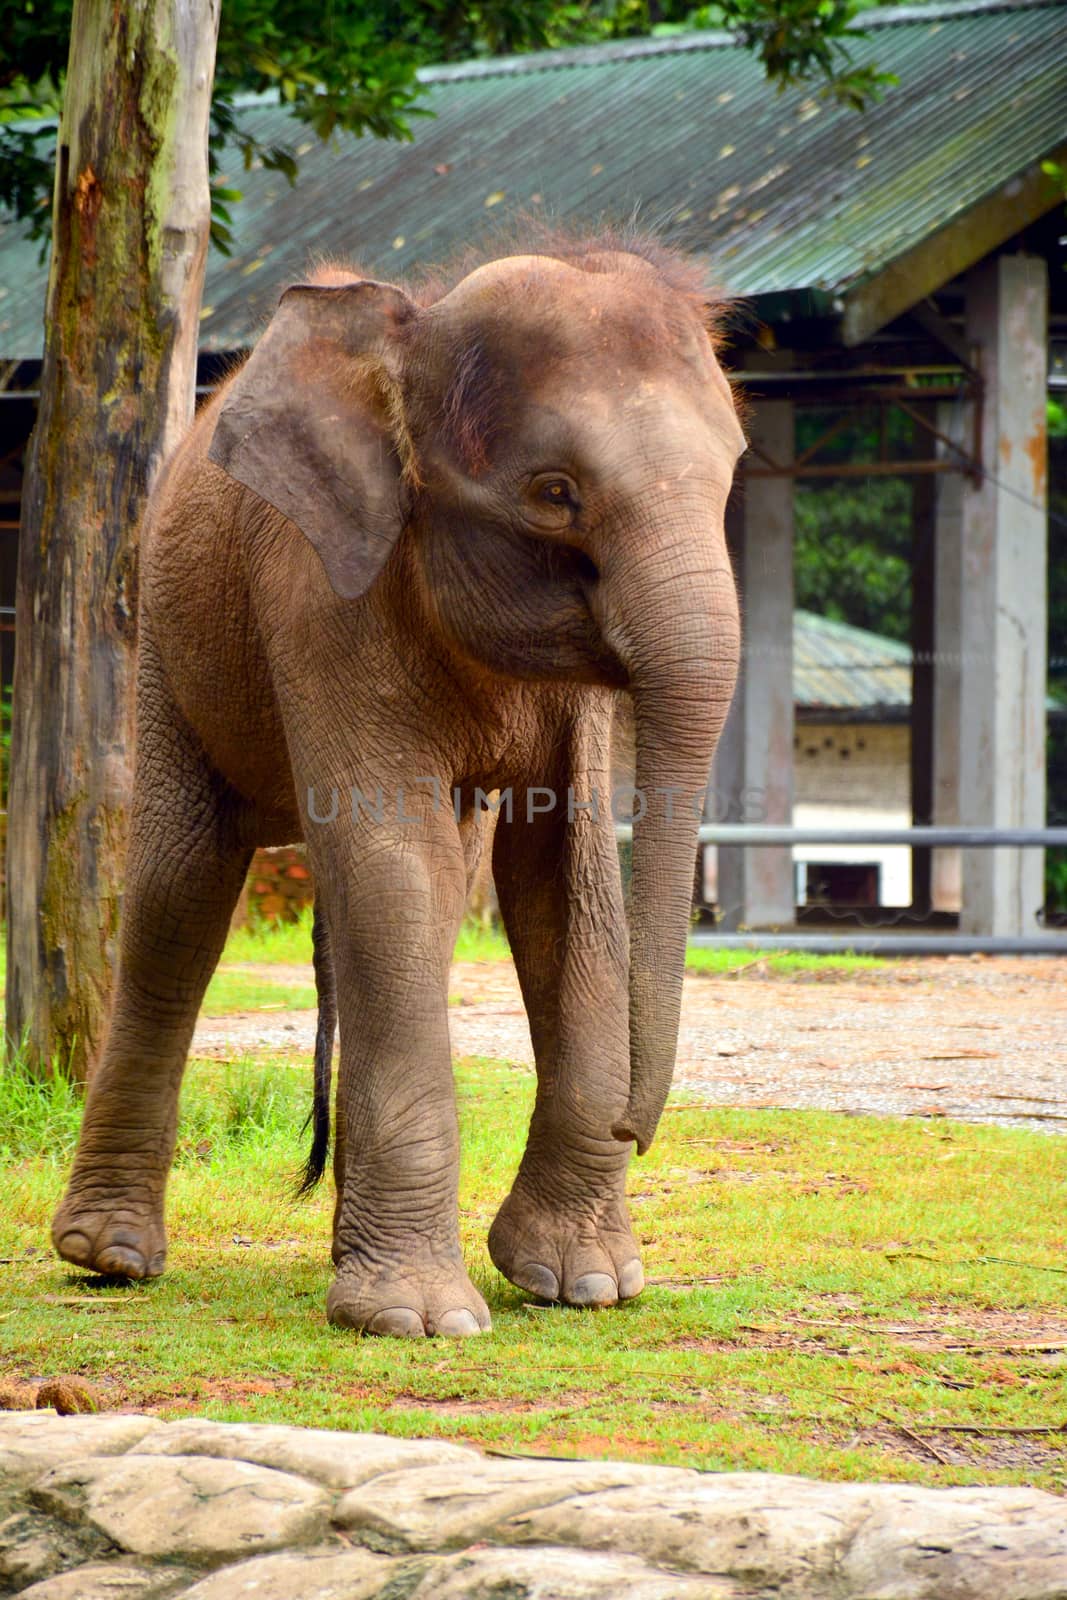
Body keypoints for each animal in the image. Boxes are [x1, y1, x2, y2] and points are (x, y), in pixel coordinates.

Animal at [54, 233, 748, 1337]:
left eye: (732, 473)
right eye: (555, 491)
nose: (633, 1128)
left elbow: (566, 873)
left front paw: (579, 1284)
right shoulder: (316, 590)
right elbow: (393, 857)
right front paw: (422, 1320)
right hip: (166, 636)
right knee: (180, 892)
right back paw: (108, 1260)